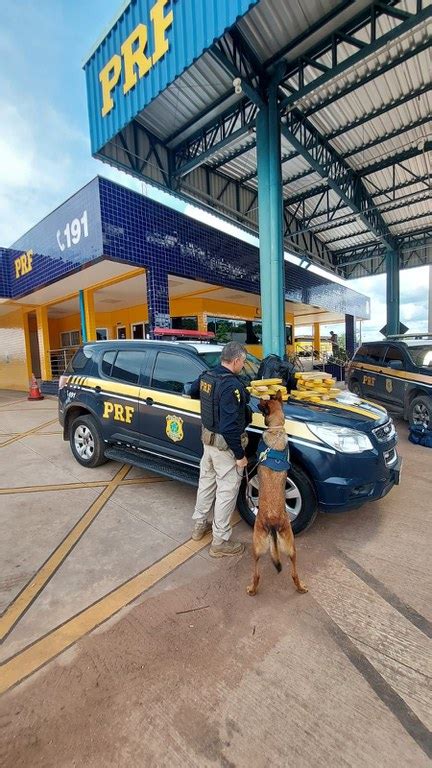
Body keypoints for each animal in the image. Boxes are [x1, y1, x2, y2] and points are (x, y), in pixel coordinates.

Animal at [246, 392, 308, 596]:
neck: (276, 429)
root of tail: (273, 522)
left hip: (256, 546)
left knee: (256, 574)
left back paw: (252, 590)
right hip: (292, 548)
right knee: (294, 573)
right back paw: (301, 587)